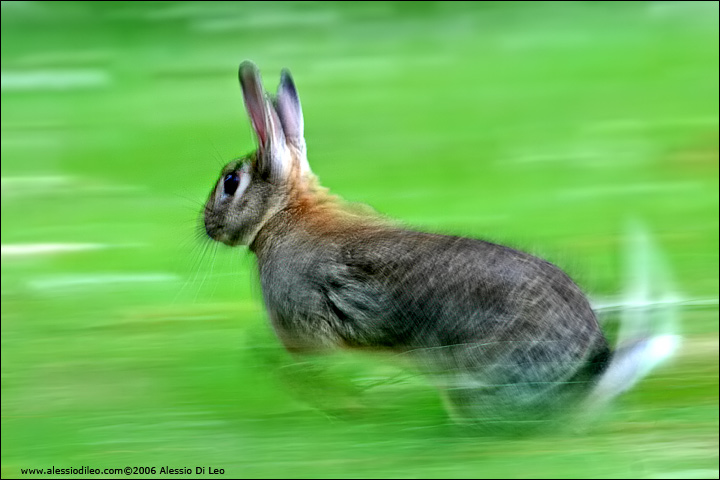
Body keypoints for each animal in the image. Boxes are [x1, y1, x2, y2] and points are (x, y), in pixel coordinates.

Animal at [204, 60, 680, 432]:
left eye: (231, 182)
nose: (206, 226)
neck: (283, 214)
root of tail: (591, 376)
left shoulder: (304, 326)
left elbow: (286, 358)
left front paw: (344, 402)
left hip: (474, 373)